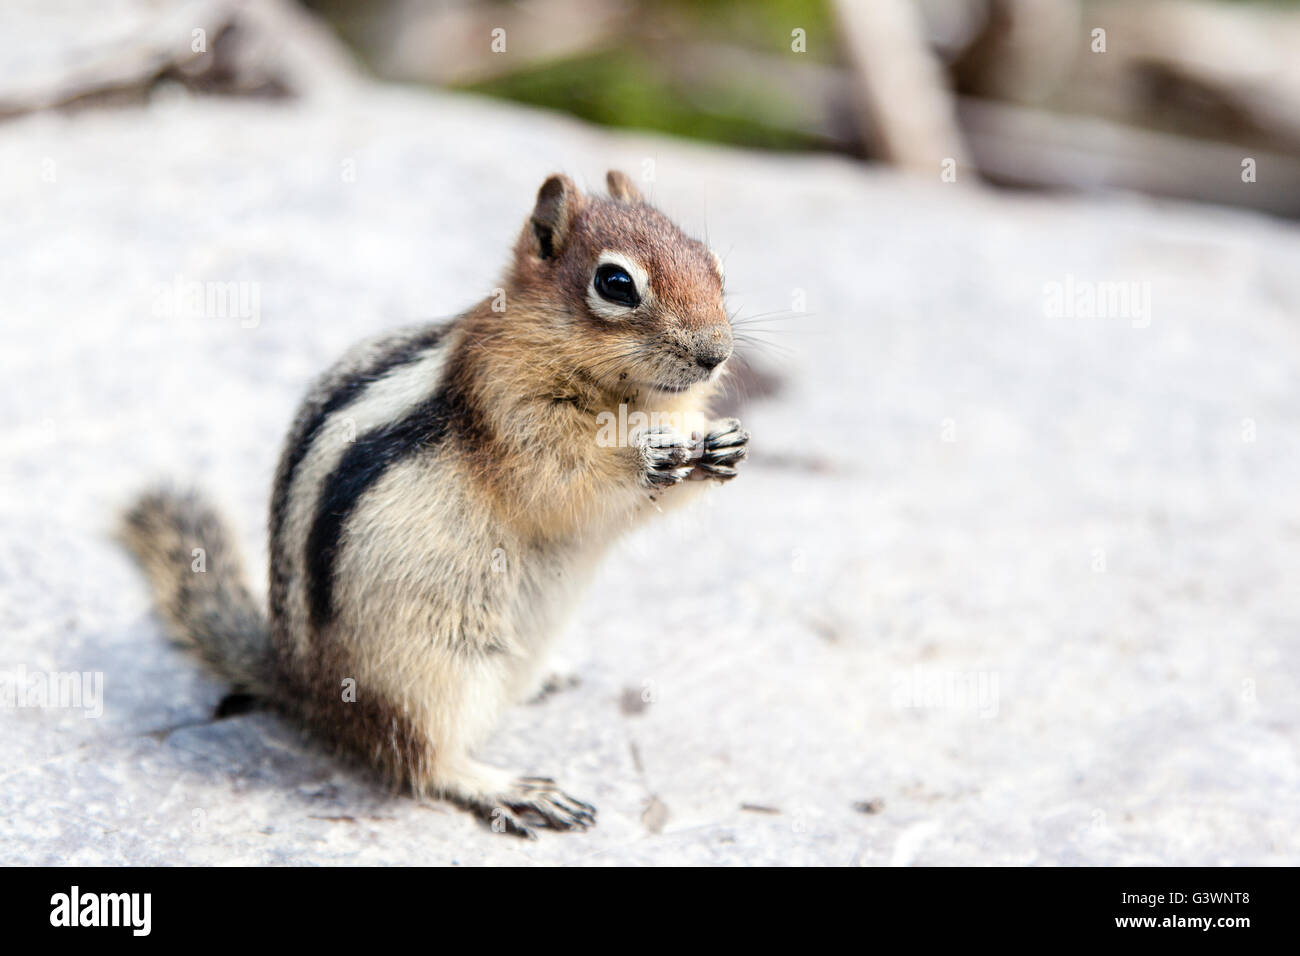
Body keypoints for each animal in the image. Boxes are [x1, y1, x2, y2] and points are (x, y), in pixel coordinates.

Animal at [124, 171, 754, 837]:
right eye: (616, 283)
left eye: (714, 264)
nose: (715, 353)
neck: (633, 398)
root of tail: (305, 689)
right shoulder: (507, 406)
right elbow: (562, 479)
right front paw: (645, 455)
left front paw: (722, 443)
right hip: (432, 675)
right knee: (421, 759)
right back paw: (507, 786)